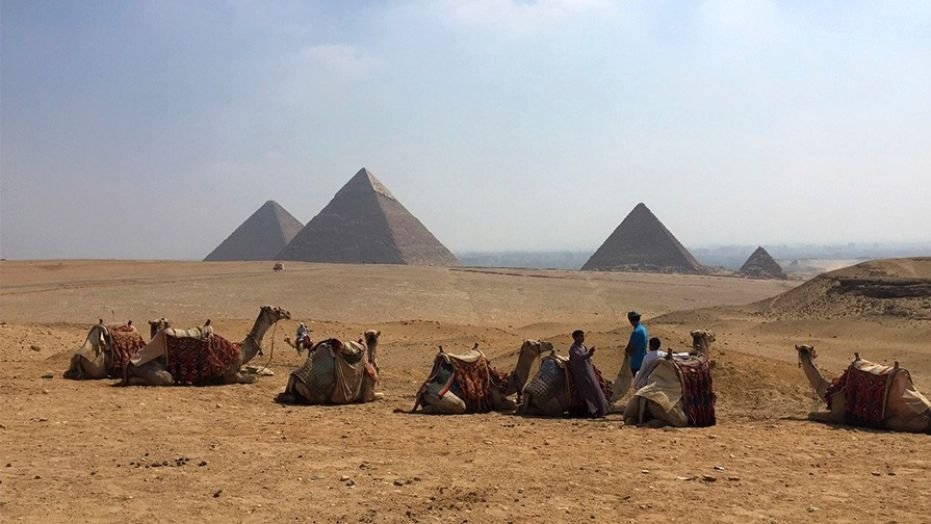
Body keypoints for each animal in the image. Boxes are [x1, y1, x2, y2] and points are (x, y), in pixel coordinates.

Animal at [124, 304, 290, 386]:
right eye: (275, 309)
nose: (287, 312)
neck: (241, 351)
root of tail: (130, 363)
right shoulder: (229, 374)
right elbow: (253, 378)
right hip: (155, 371)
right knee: (165, 378)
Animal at [412, 342, 548, 416]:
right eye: (536, 343)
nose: (549, 344)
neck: (503, 382)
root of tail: (423, 390)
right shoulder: (496, 399)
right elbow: (513, 404)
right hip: (440, 395)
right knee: (459, 405)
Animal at [796, 344, 928, 434]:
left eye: (804, 350)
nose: (802, 351)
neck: (832, 388)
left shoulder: (837, 415)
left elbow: (810, 414)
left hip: (902, 420)